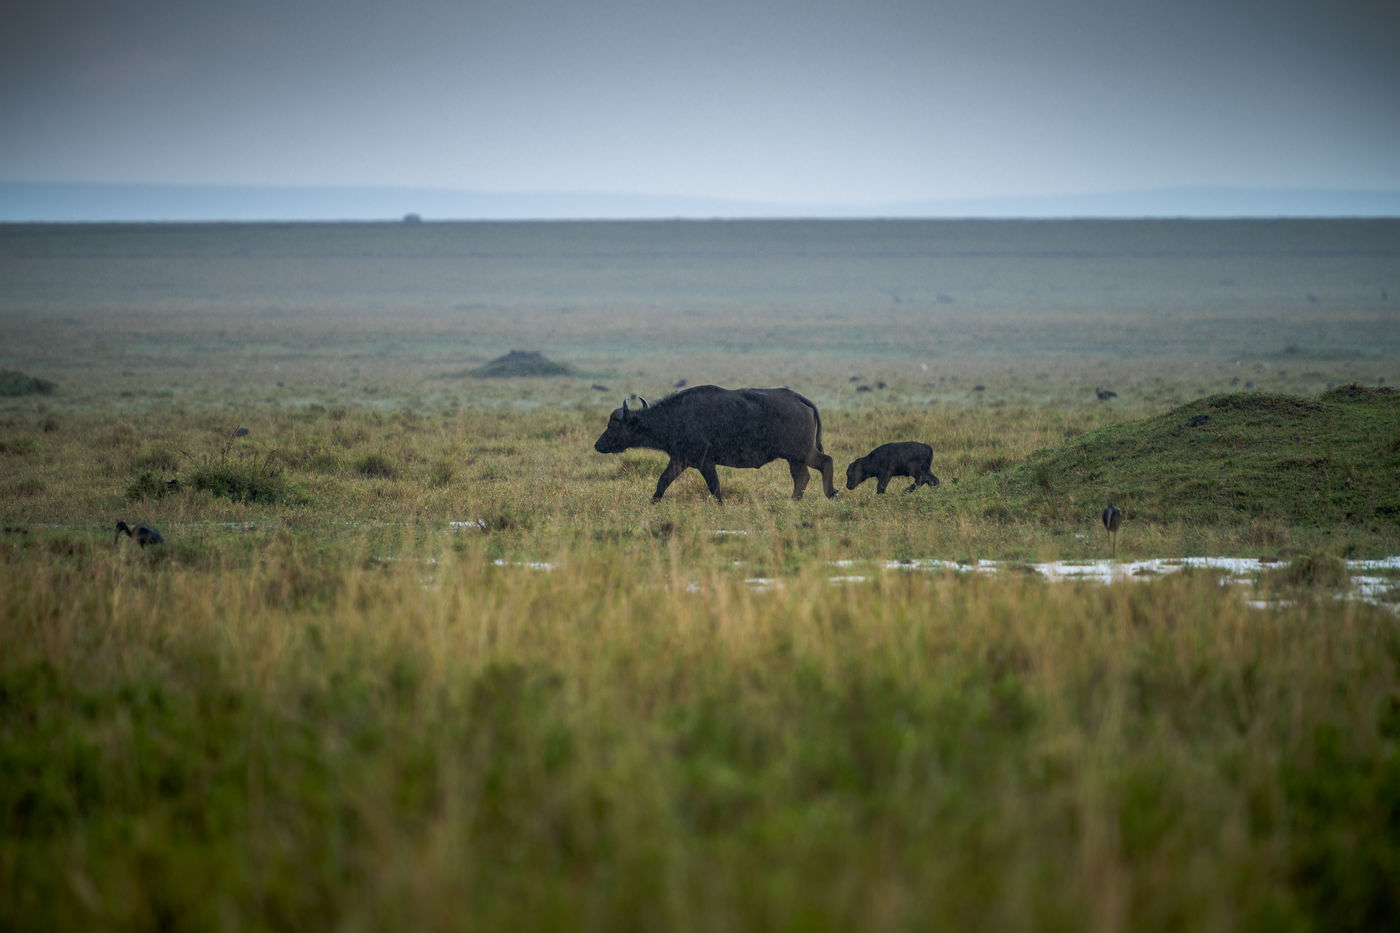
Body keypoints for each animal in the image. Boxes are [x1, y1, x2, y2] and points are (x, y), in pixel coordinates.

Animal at [593, 385, 836, 502]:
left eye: (614, 425)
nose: (598, 445)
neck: (675, 417)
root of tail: (799, 399)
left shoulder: (704, 462)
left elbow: (714, 486)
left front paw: (720, 505)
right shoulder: (679, 460)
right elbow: (662, 481)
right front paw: (653, 502)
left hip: (801, 452)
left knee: (825, 462)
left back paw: (828, 493)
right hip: (795, 457)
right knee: (802, 477)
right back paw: (796, 500)